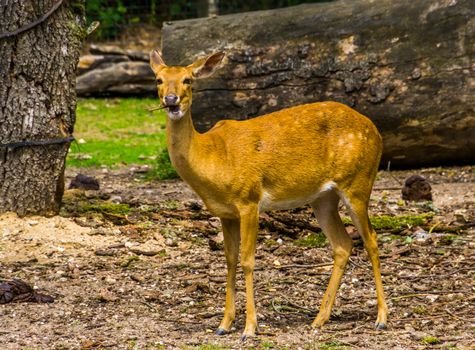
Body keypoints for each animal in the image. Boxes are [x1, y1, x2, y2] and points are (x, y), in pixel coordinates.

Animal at [151, 50, 388, 340]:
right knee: (343, 245)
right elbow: (229, 260)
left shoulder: (249, 200)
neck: (214, 158)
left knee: (372, 239)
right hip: (323, 198)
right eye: (159, 80)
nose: (171, 100)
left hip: (358, 182)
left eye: (188, 80)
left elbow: (247, 260)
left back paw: (381, 318)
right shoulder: (225, 213)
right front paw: (224, 324)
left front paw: (249, 328)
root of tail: (376, 131)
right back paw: (319, 319)